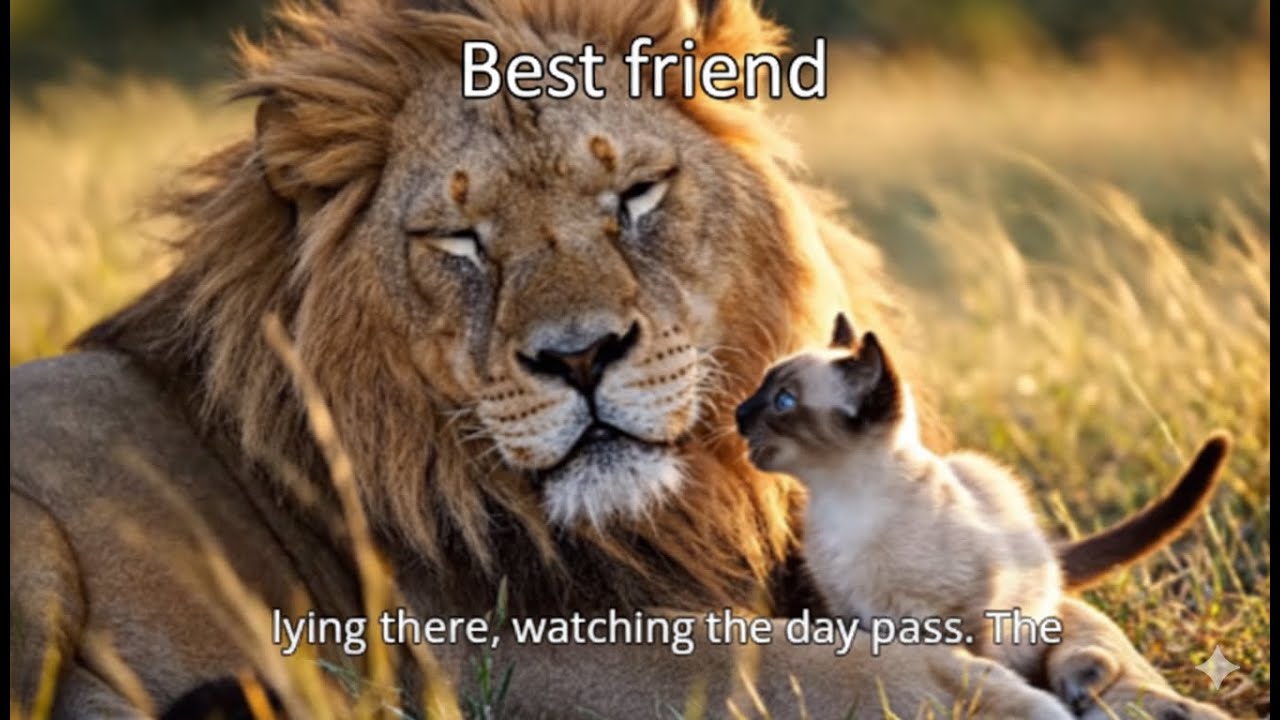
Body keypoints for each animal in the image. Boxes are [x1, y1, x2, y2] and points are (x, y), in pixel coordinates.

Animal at [9, 1, 1225, 717]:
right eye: (461, 240)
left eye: (634, 195)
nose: (582, 357)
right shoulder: (497, 656)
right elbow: (786, 663)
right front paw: (1002, 700)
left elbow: (1065, 609)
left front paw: (1144, 695)